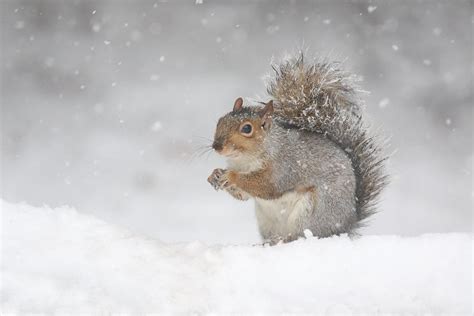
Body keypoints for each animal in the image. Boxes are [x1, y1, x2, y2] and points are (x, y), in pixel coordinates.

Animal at [208, 53, 388, 244]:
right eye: (220, 121)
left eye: (247, 128)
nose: (217, 146)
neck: (245, 160)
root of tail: (347, 225)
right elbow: (244, 196)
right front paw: (215, 174)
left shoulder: (283, 167)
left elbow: (266, 186)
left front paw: (231, 176)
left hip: (311, 212)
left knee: (300, 235)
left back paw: (284, 240)